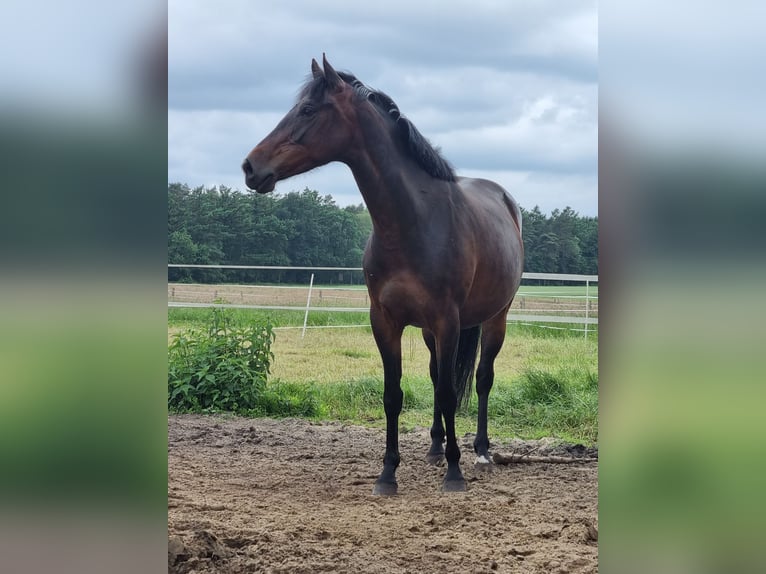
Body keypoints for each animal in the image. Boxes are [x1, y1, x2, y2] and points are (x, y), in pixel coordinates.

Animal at [243, 55, 524, 496]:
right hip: (429, 331)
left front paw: (454, 472)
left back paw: (479, 450)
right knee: (435, 376)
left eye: (307, 110)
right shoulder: (385, 321)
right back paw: (434, 447)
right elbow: (394, 394)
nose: (251, 166)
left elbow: (449, 393)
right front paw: (388, 473)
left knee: (481, 378)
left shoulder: (448, 320)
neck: (414, 222)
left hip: (496, 318)